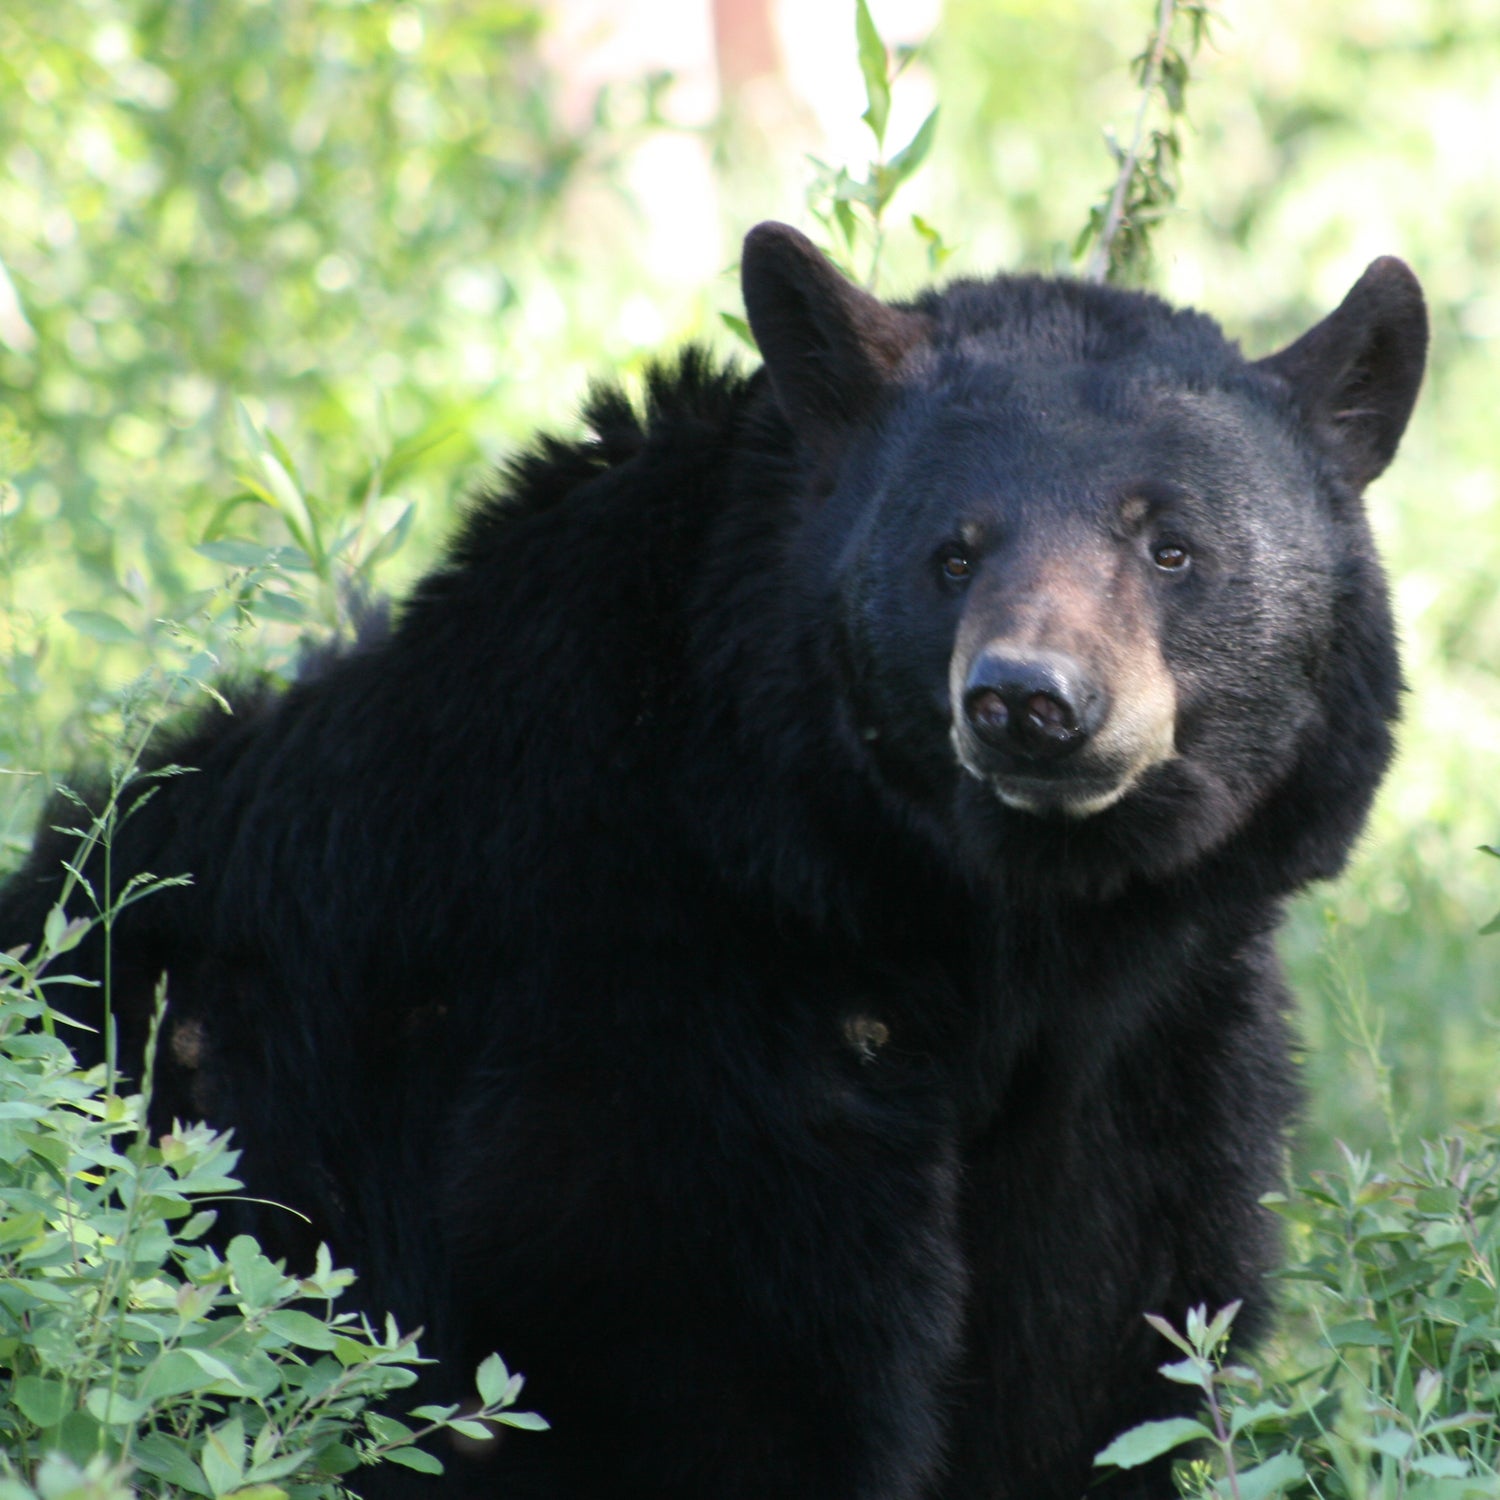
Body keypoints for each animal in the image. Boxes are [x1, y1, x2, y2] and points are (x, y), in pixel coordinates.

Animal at [0, 225, 1428, 1500]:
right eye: (952, 551)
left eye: (1170, 545)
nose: (1029, 701)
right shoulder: (659, 996)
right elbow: (688, 1351)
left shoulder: (1142, 1066)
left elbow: (1096, 1358)